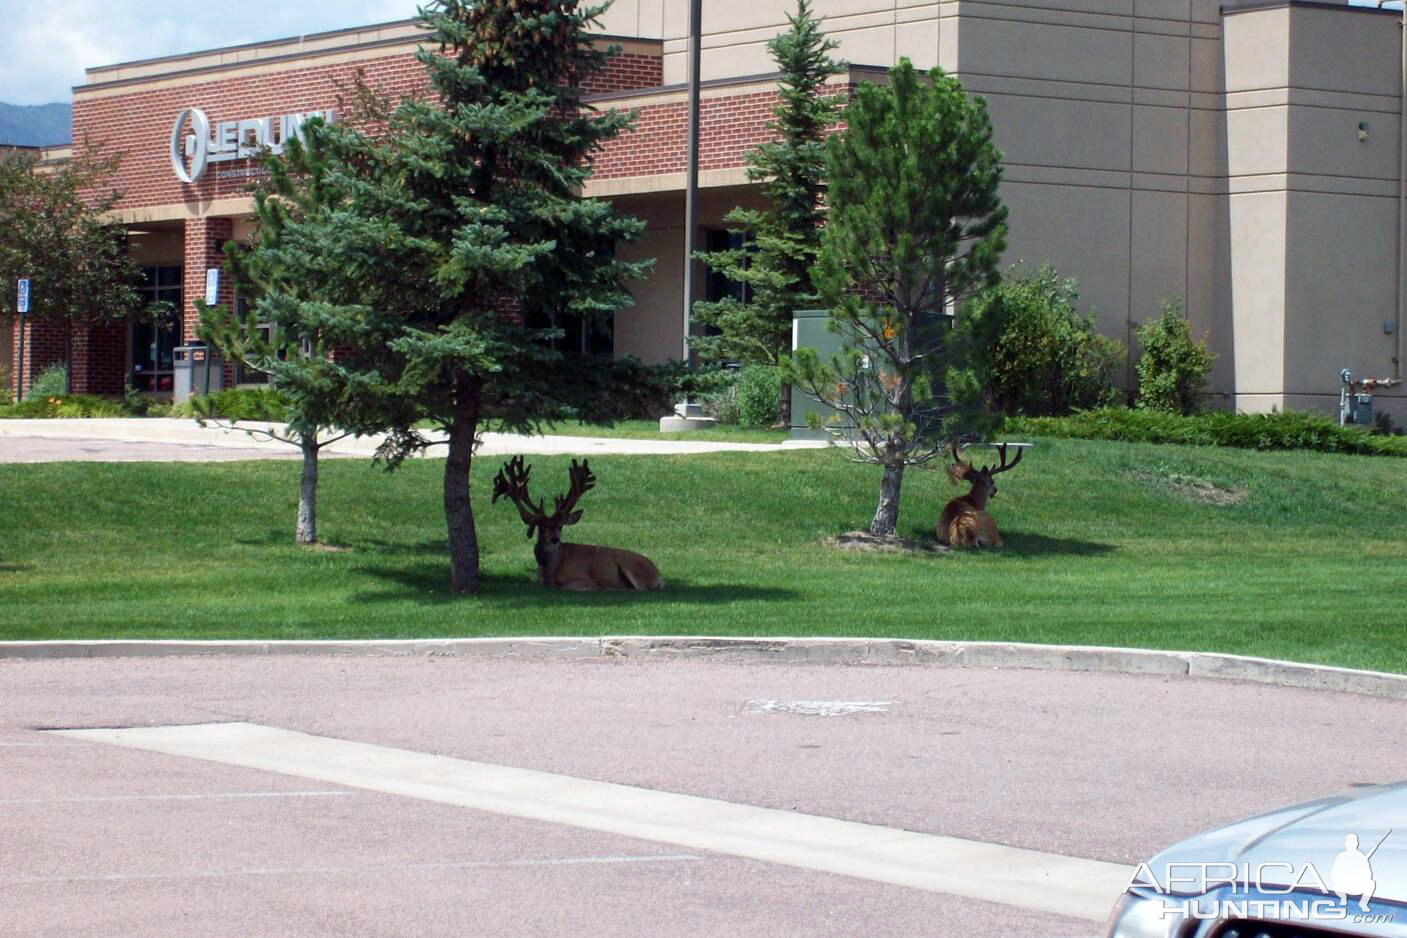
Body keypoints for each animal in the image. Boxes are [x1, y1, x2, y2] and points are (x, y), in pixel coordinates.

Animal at [489, 455, 664, 593]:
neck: (549, 572)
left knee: (640, 588)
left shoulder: (583, 580)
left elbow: (568, 586)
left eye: (560, 526)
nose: (554, 539)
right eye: (542, 527)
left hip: (630, 565)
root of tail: (658, 575)